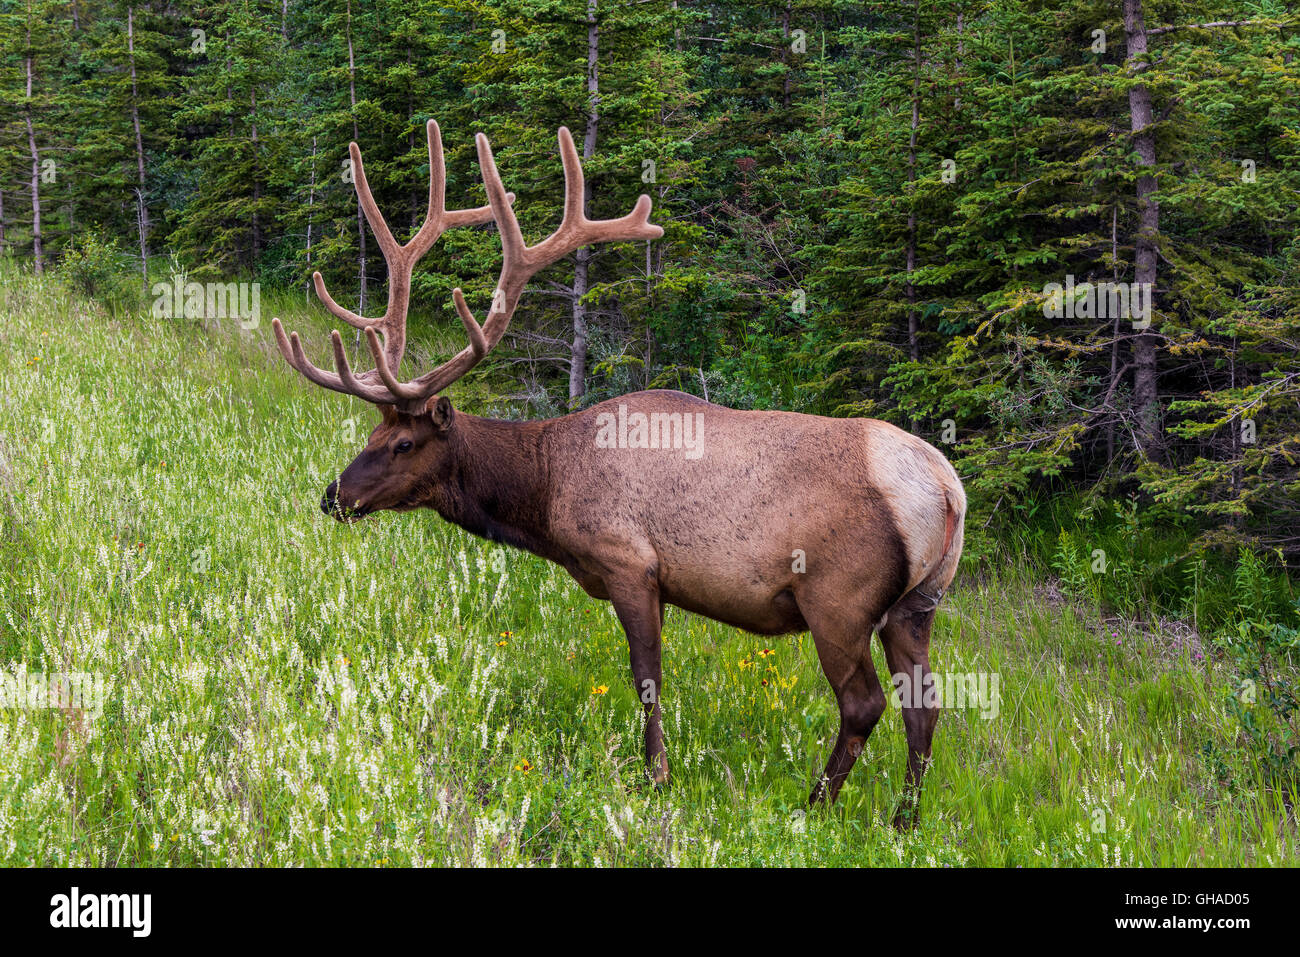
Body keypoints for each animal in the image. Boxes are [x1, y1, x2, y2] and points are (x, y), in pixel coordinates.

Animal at [271, 117, 967, 821]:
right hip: (919, 603)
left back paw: (815, 806)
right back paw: (904, 819)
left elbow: (647, 679)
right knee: (924, 706)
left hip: (838, 597)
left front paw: (655, 776)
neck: (546, 491)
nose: (333, 495)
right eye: (372, 432)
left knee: (865, 703)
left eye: (404, 444)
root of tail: (946, 490)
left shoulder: (629, 562)